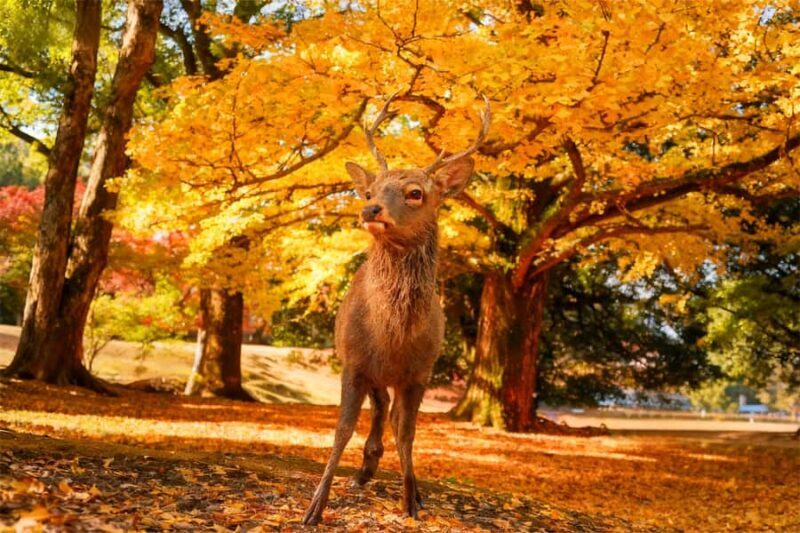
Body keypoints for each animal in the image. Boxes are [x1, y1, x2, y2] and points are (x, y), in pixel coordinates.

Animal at [302, 93, 490, 525]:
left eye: (416, 192)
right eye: (369, 191)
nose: (370, 211)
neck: (393, 338)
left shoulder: (420, 372)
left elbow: (408, 433)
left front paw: (411, 501)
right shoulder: (354, 363)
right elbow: (341, 430)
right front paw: (315, 507)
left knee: (389, 413)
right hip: (366, 370)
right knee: (380, 407)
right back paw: (364, 469)